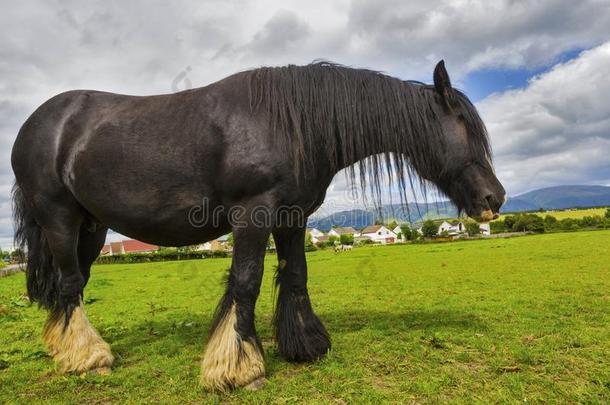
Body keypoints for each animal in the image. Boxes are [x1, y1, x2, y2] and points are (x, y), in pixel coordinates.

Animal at [10, 61, 504, 390]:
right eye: (463, 127)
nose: (494, 199)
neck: (291, 123)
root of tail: (36, 124)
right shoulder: (254, 214)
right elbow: (247, 280)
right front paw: (238, 367)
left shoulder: (292, 217)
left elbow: (295, 275)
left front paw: (305, 345)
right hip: (59, 217)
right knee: (70, 283)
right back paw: (88, 357)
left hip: (90, 229)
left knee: (71, 282)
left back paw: (64, 347)